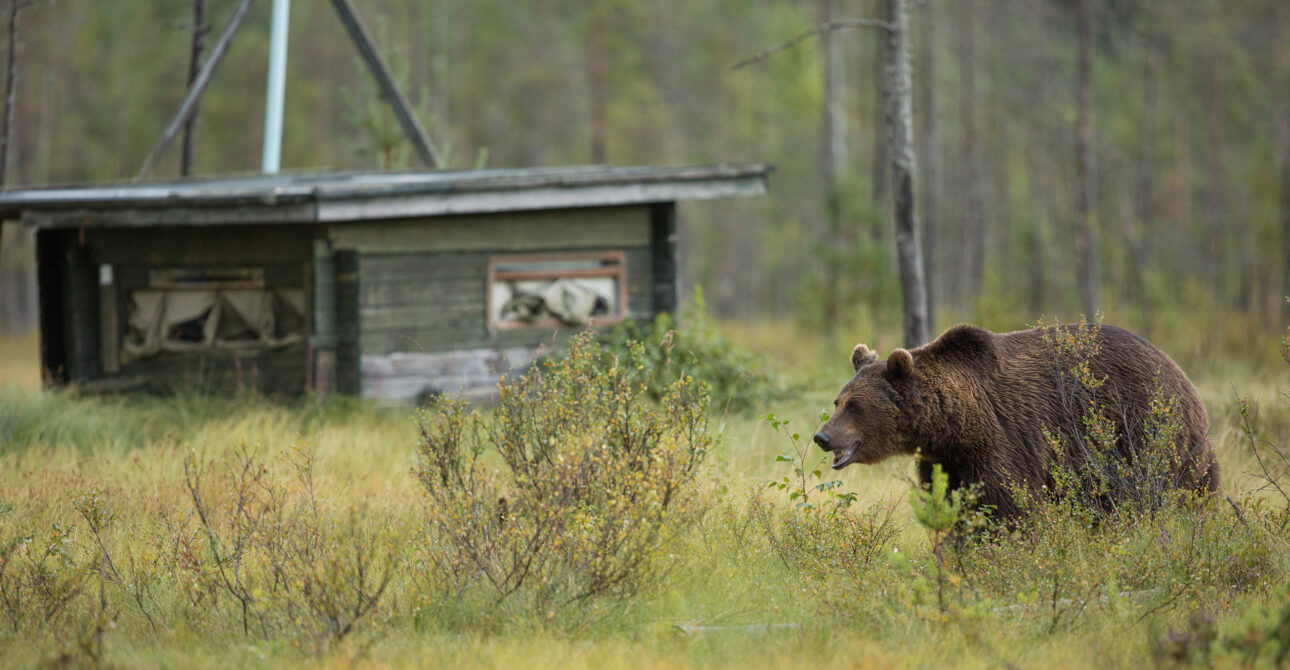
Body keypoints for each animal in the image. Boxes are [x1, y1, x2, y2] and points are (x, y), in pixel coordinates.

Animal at [812, 323, 1220, 518]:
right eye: (838, 401)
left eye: (856, 406)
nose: (822, 436)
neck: (953, 424)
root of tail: (1182, 375)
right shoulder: (947, 460)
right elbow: (949, 501)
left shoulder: (1007, 436)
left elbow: (1006, 502)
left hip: (1144, 430)